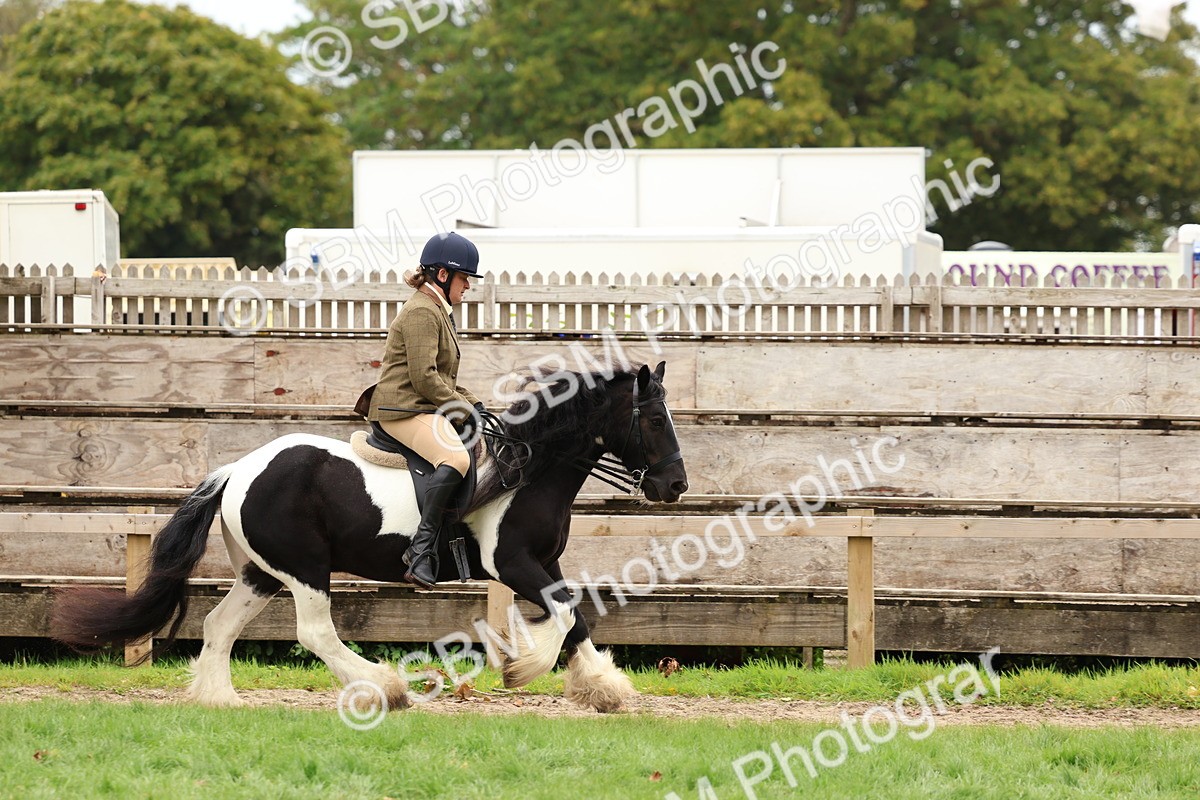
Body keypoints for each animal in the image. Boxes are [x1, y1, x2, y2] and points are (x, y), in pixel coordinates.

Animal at [51, 362, 688, 713]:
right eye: (656, 420)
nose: (675, 486)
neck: (528, 466)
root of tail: (237, 469)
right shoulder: (511, 563)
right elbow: (565, 614)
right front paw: (526, 669)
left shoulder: (541, 564)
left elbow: (574, 616)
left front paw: (602, 689)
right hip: (305, 568)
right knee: (314, 631)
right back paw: (384, 687)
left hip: (261, 574)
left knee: (218, 626)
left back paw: (220, 699)